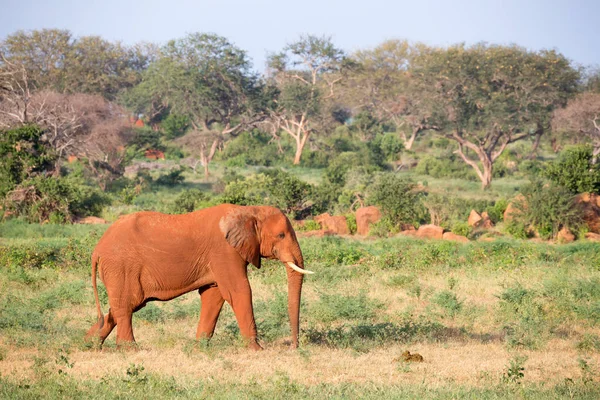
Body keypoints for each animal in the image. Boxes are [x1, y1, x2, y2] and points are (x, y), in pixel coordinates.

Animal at [86, 205, 312, 348]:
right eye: (281, 235)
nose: (293, 347)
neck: (249, 210)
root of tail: (97, 250)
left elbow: (214, 296)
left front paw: (199, 348)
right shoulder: (224, 251)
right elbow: (239, 291)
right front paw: (257, 350)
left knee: (119, 308)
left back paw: (89, 344)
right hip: (121, 267)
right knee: (126, 306)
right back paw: (130, 349)